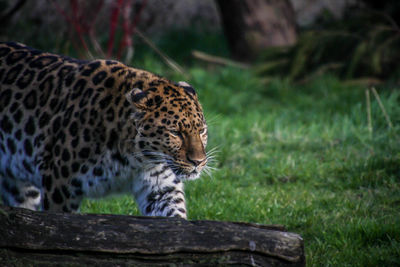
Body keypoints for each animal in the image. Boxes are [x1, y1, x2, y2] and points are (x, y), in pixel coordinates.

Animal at [0, 40, 209, 219]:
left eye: (201, 131)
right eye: (175, 133)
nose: (198, 162)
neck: (134, 159)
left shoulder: (161, 188)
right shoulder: (59, 185)